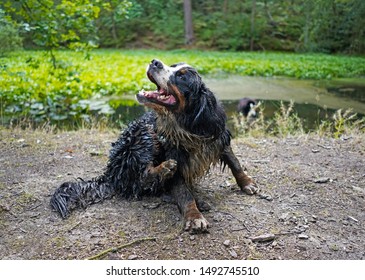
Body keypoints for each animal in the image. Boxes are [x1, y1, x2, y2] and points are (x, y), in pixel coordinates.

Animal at [49, 59, 258, 234]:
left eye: (182, 76)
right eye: (172, 66)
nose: (154, 62)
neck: (186, 125)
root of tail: (111, 173)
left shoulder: (219, 138)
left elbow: (235, 163)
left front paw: (247, 183)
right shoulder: (176, 158)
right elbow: (184, 194)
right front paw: (194, 217)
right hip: (145, 134)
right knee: (141, 179)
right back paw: (164, 169)